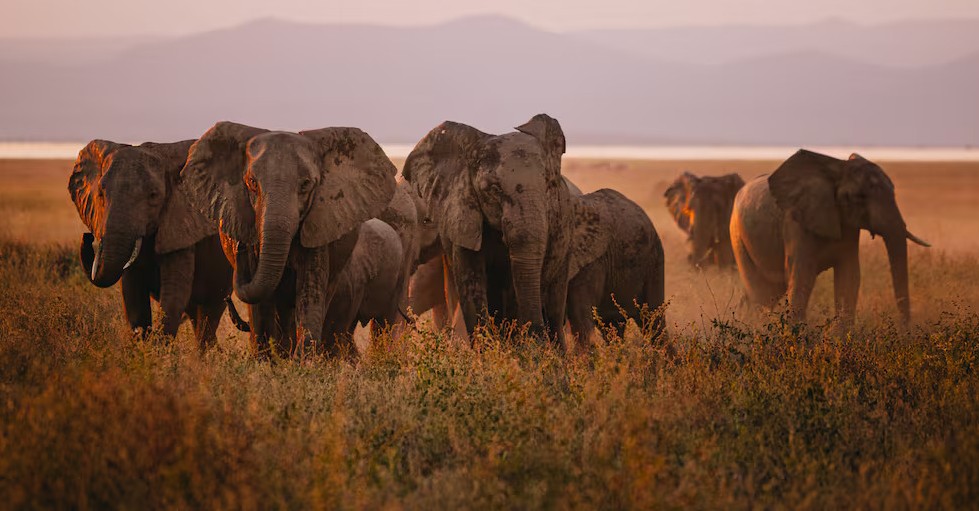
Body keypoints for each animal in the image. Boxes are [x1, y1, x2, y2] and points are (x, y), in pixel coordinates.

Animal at [68, 139, 232, 348]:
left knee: (209, 314)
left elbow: (174, 291)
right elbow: (132, 291)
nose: (87, 237)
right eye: (101, 194)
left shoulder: (182, 223)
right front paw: (143, 347)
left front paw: (158, 349)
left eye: (154, 195)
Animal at [179, 121, 398, 356]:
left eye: (305, 184)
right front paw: (266, 359)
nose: (239, 247)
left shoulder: (319, 222)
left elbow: (309, 290)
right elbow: (261, 302)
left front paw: (302, 360)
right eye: (252, 183)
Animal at [403, 114, 575, 346]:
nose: (537, 336)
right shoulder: (462, 211)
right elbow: (472, 285)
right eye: (492, 190)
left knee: (555, 308)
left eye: (549, 185)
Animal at [730, 150, 930, 324]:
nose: (903, 328)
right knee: (761, 293)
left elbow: (849, 275)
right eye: (858, 197)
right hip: (738, 236)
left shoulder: (849, 227)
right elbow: (802, 277)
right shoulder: (795, 224)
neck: (838, 168)